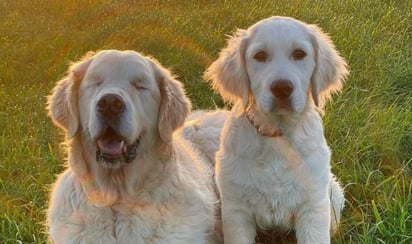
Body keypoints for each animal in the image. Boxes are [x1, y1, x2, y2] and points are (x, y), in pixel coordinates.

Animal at [204, 16, 350, 243]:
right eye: (260, 56)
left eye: (299, 54)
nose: (282, 88)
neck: (277, 134)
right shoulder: (236, 210)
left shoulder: (313, 206)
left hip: (330, 191)